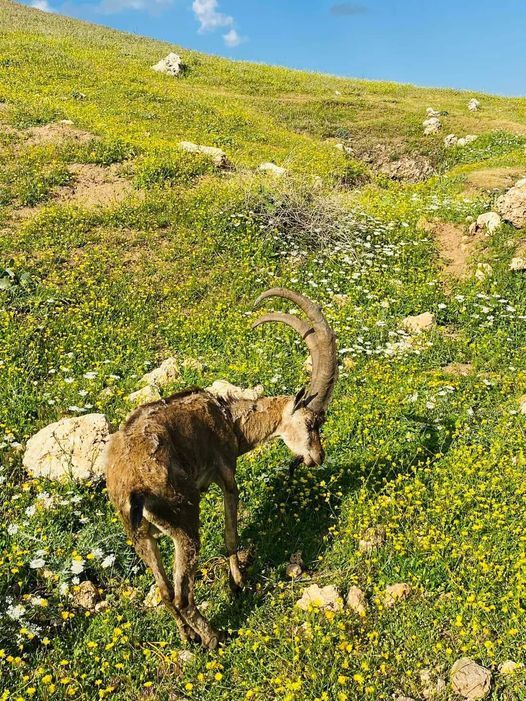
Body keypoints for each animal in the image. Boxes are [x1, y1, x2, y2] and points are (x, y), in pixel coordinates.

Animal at [105, 288, 340, 648]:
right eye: (313, 422)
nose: (318, 457)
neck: (229, 419)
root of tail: (133, 488)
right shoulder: (227, 473)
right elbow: (231, 534)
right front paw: (238, 582)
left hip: (141, 536)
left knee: (164, 590)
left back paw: (187, 636)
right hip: (183, 521)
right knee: (182, 595)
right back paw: (214, 637)